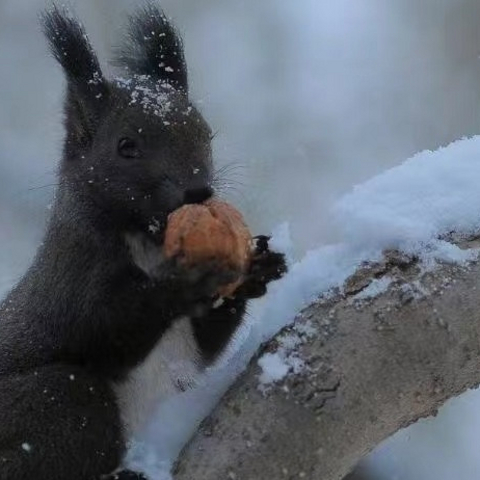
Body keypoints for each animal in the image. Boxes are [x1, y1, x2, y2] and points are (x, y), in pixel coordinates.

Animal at [0, 4, 286, 480]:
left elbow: (205, 349)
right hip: (53, 404)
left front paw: (256, 268)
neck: (149, 242)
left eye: (207, 133)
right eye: (125, 146)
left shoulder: (184, 350)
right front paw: (184, 280)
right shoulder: (71, 279)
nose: (198, 191)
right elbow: (108, 327)